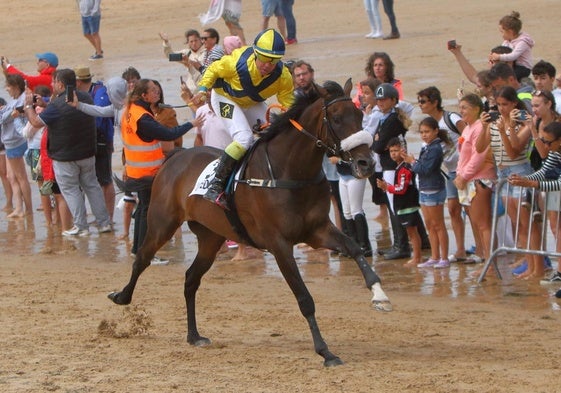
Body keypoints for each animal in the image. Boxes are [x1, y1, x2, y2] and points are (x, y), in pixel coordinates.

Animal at [108, 78, 390, 366]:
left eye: (360, 116)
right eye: (336, 118)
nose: (366, 163)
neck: (290, 172)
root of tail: (175, 157)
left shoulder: (317, 231)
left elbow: (354, 248)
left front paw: (379, 295)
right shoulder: (279, 244)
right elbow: (304, 298)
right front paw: (325, 351)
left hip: (211, 237)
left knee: (190, 279)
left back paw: (194, 335)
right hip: (162, 223)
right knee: (142, 258)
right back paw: (121, 296)